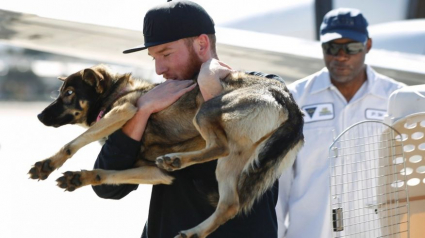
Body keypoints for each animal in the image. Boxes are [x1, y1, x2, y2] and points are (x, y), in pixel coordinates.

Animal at [29, 64, 302, 238]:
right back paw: (195, 231)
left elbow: (73, 142)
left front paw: (48, 164)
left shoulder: (123, 111)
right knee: (229, 205)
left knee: (219, 147)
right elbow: (107, 174)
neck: (117, 93)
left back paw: (177, 159)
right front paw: (80, 177)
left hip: (206, 112)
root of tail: (289, 102)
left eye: (69, 93)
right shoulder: (155, 173)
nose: (39, 116)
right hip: (237, 160)